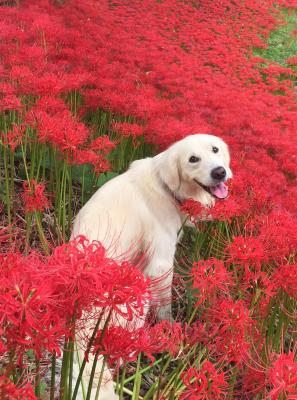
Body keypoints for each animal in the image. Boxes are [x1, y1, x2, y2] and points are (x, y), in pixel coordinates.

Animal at [71, 134, 231, 396]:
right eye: (193, 159)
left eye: (215, 150)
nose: (220, 172)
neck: (167, 187)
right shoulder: (161, 264)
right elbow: (166, 307)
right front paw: (171, 332)